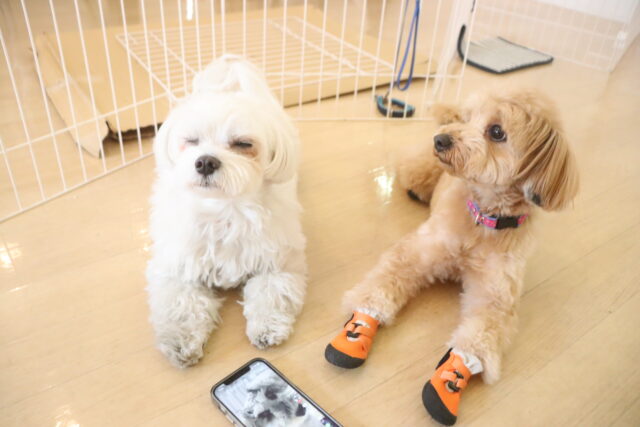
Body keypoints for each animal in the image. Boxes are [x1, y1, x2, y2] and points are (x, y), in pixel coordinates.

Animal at [146, 55, 307, 368]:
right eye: (191, 140)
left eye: (243, 144)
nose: (205, 162)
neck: (222, 210)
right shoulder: (178, 266)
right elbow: (182, 304)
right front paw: (180, 343)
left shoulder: (278, 260)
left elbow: (271, 291)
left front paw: (267, 328)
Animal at [325, 88, 578, 425]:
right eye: (469, 119)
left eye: (497, 132)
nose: (441, 140)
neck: (482, 219)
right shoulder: (417, 254)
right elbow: (380, 287)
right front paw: (358, 328)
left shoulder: (495, 298)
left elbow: (479, 338)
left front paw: (452, 379)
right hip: (420, 170)